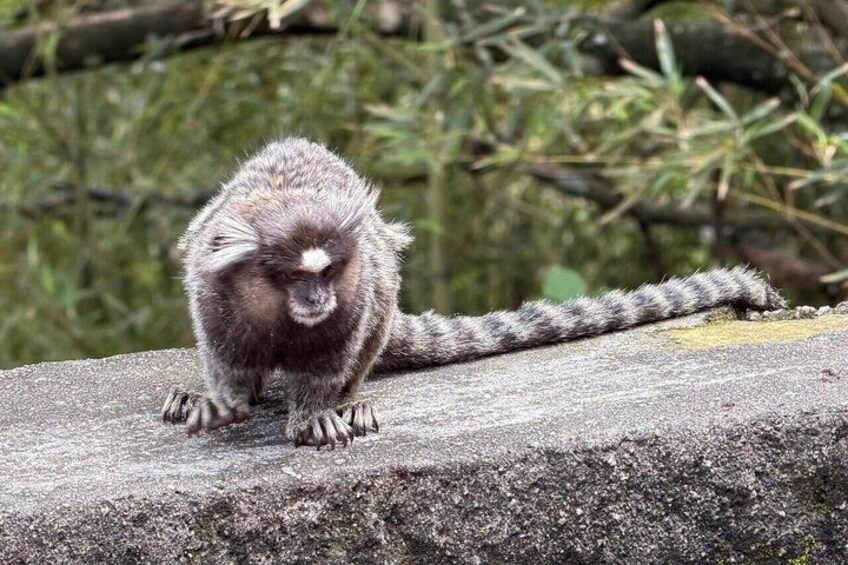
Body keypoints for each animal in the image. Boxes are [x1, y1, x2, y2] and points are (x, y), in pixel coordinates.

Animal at [162, 137, 787, 449]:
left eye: (329, 272)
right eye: (295, 277)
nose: (318, 302)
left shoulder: (355, 292)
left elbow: (331, 358)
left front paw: (317, 413)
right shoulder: (213, 289)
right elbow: (225, 358)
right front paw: (220, 402)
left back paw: (350, 402)